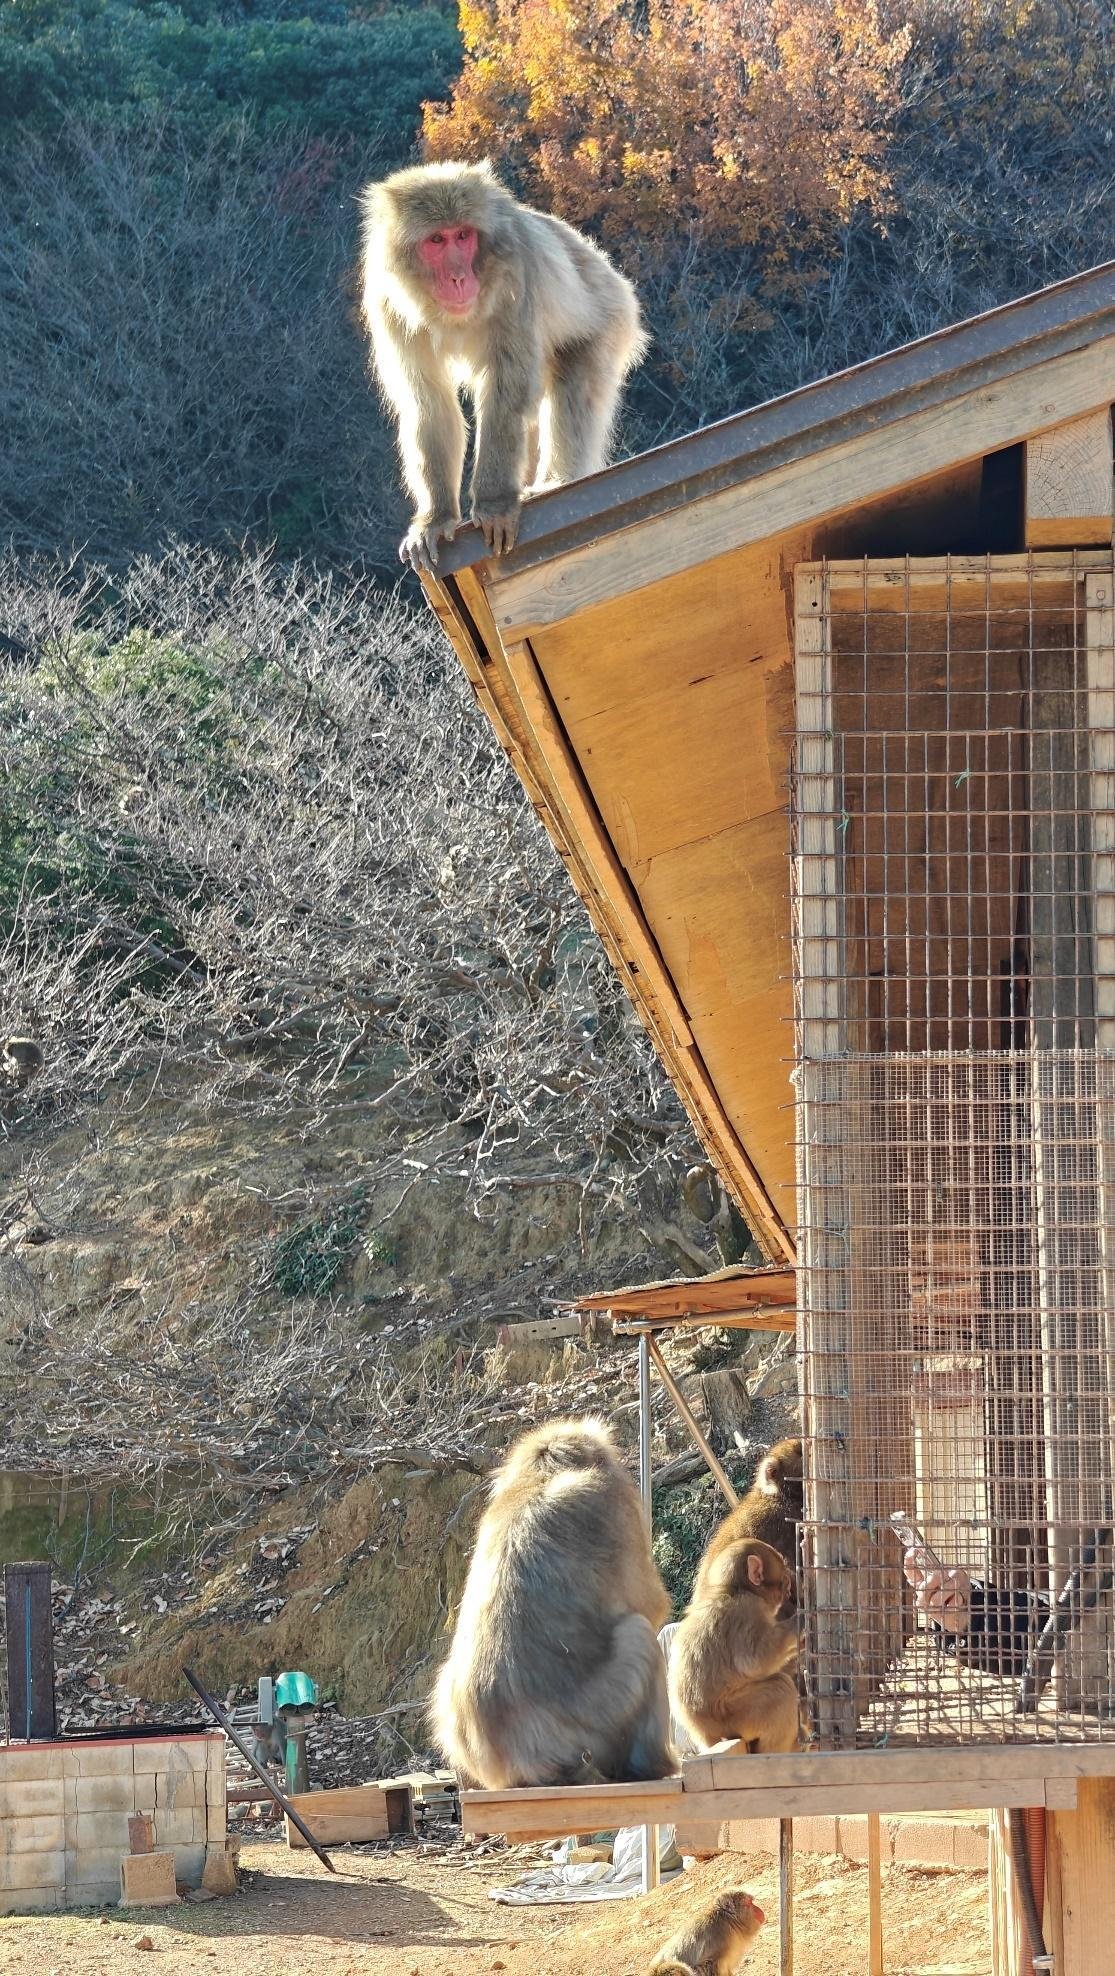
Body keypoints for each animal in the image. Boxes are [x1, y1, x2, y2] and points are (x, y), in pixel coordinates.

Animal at [360, 160, 647, 571]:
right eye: (437, 240)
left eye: (463, 235)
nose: (458, 278)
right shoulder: (386, 301)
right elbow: (427, 402)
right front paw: (436, 519)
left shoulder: (516, 273)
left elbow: (506, 391)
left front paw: (494, 503)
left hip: (611, 320)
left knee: (573, 386)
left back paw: (557, 480)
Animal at [431, 1416, 674, 1789]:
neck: (540, 1479)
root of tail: (521, 1763)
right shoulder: (610, 1501)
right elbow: (651, 1605)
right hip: (601, 1723)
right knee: (639, 1634)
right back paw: (652, 1765)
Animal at [669, 1538, 800, 1754]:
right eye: (784, 1580)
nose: (789, 1590)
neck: (734, 1590)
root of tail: (705, 1736)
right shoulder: (747, 1609)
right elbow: (755, 1660)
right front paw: (799, 1624)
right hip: (735, 1717)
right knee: (780, 1690)